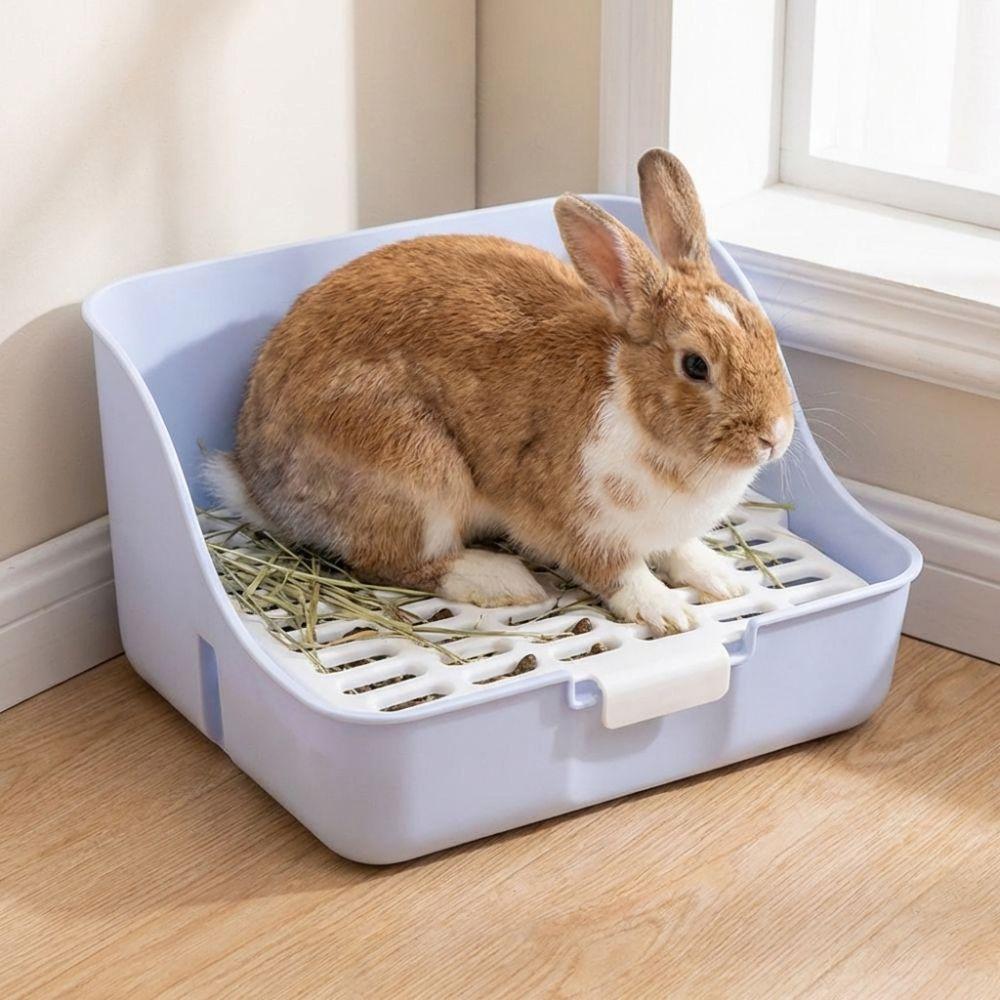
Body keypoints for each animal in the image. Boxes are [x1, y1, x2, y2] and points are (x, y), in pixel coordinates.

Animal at [206, 149, 793, 635]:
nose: (775, 436)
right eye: (695, 365)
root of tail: (260, 486)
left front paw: (724, 579)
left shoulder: (668, 531)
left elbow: (681, 551)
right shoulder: (578, 524)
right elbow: (619, 573)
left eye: (767, 332)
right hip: (418, 476)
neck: (634, 402)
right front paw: (669, 612)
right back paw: (503, 580)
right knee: (396, 563)